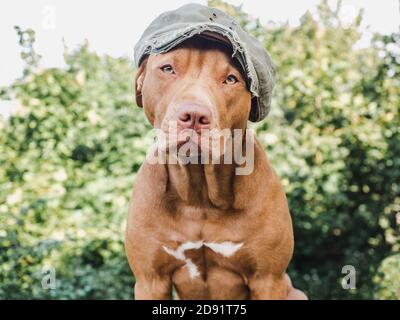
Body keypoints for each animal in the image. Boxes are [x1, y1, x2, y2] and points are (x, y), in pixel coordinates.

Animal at [125, 37, 306, 300]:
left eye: (230, 79)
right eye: (168, 68)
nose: (194, 116)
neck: (200, 197)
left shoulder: (267, 279)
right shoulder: (151, 280)